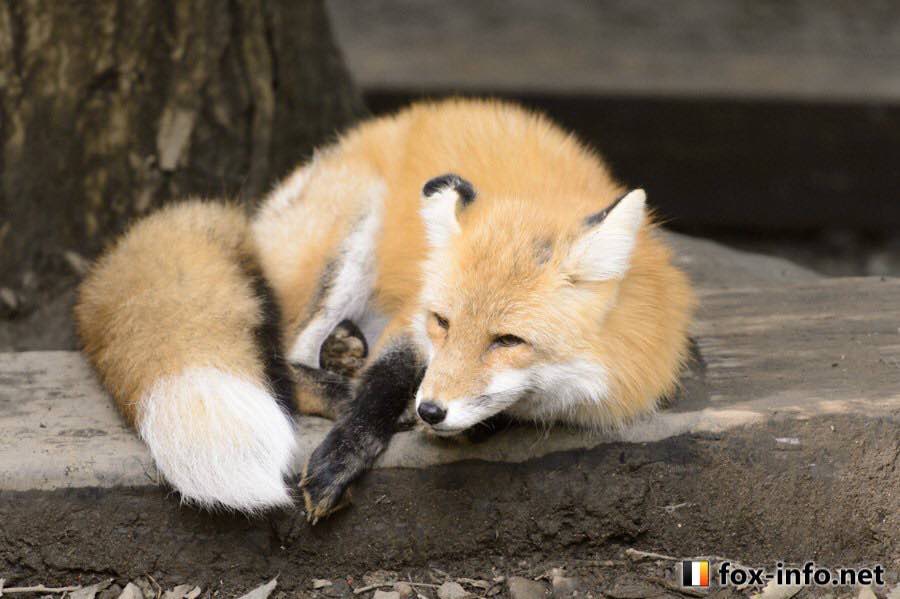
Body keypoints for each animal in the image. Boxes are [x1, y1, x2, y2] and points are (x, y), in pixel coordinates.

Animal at [76, 98, 695, 520]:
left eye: (507, 341)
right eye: (443, 322)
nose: (430, 412)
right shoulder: (412, 320)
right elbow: (387, 380)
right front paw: (344, 452)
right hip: (350, 234)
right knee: (280, 357)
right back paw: (341, 381)